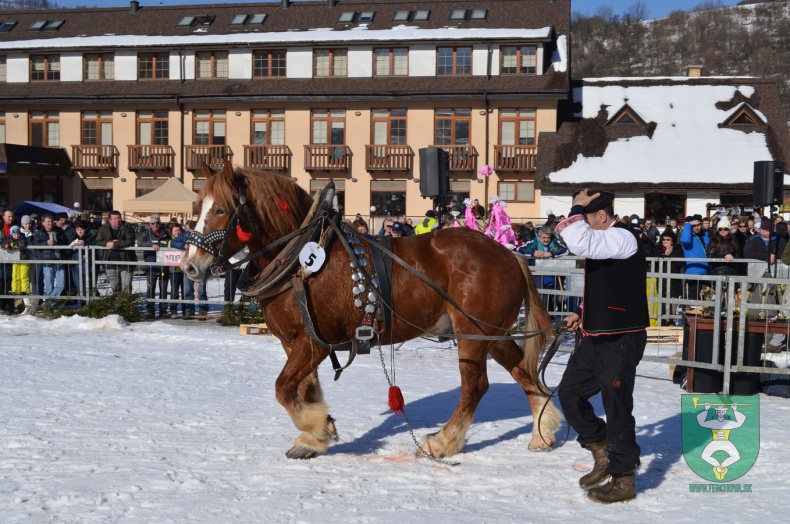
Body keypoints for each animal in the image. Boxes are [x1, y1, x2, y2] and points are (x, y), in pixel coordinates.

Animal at [181, 163, 564, 458]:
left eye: (220, 210)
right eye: (197, 206)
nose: (190, 266)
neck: (298, 258)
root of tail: (509, 255)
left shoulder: (314, 343)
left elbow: (284, 388)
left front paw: (314, 427)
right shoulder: (296, 342)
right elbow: (304, 389)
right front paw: (317, 433)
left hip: (472, 333)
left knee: (475, 387)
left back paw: (442, 442)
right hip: (492, 333)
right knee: (523, 372)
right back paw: (542, 432)